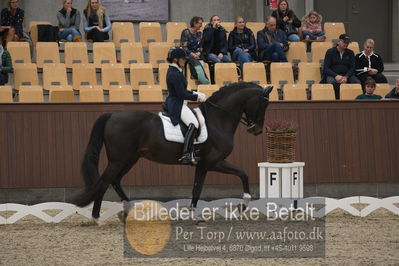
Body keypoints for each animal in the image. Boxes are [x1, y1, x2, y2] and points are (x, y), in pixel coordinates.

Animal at [73, 83, 274, 222]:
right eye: (263, 105)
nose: (256, 130)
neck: (218, 119)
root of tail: (112, 115)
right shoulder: (214, 162)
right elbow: (243, 173)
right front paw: (244, 204)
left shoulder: (202, 165)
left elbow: (197, 189)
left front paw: (193, 215)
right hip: (119, 159)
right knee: (104, 182)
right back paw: (97, 218)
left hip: (130, 159)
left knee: (115, 181)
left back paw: (128, 211)